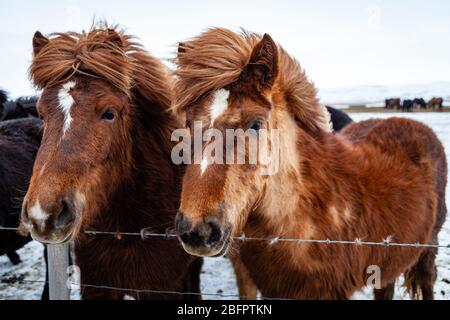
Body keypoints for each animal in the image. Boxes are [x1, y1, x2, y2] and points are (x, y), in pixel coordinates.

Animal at [19, 26, 202, 300]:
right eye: (42, 113)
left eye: (109, 113)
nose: (43, 214)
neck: (126, 229)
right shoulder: (96, 283)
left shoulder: (162, 287)